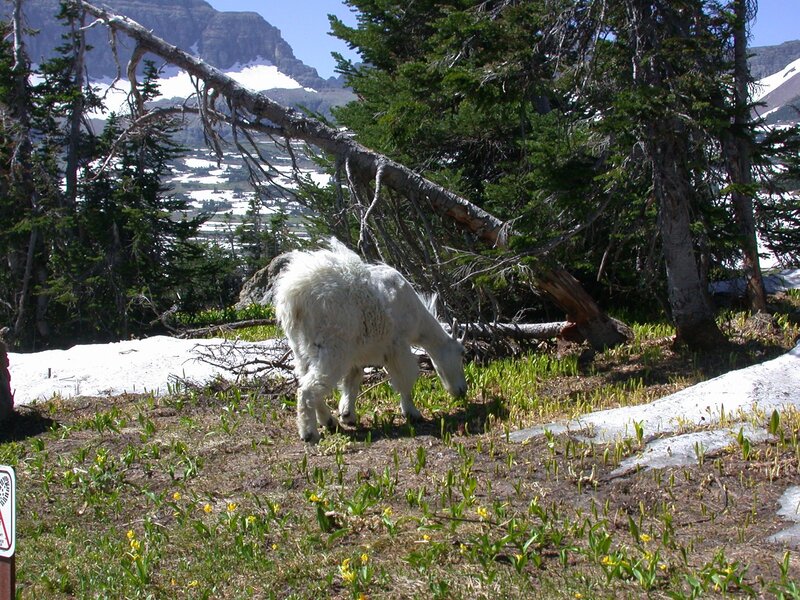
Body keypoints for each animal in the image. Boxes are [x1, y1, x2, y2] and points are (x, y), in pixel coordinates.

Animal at [273, 240, 467, 443]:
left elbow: (352, 380)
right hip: (332, 349)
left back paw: (330, 421)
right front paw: (412, 413)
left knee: (307, 380)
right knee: (308, 389)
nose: (462, 390)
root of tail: (294, 298)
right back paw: (309, 433)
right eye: (462, 353)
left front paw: (347, 415)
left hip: (301, 349)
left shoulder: (357, 353)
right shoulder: (397, 345)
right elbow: (405, 378)